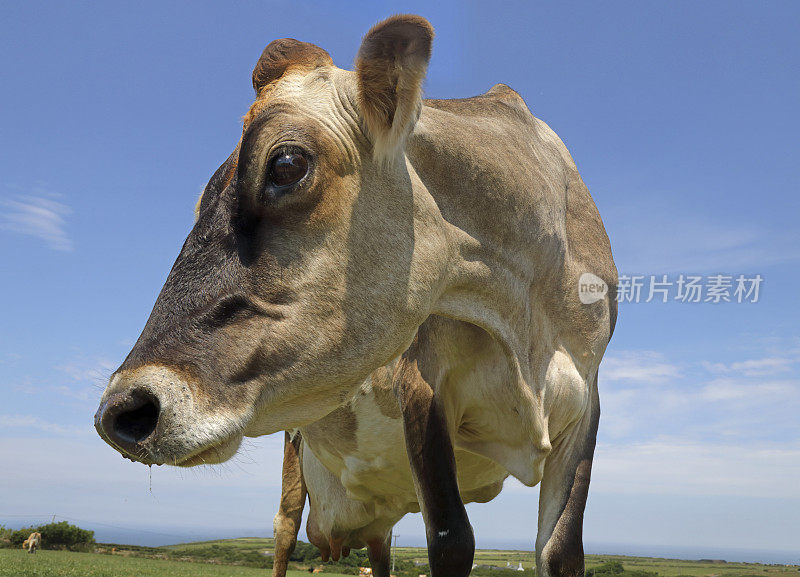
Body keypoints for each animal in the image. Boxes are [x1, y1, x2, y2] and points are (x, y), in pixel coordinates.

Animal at [95, 14, 620, 576]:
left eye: (285, 164)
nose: (123, 410)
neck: (524, 326)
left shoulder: (586, 402)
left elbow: (561, 550)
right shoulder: (421, 385)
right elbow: (453, 539)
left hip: (380, 521)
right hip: (293, 467)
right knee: (283, 532)